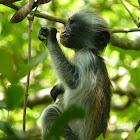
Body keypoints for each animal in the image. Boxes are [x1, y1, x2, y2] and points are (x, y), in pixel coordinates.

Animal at [38, 9, 111, 140]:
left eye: (73, 28)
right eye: (66, 25)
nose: (63, 31)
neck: (91, 51)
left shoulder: (86, 57)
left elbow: (72, 80)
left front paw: (50, 37)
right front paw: (59, 87)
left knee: (50, 112)